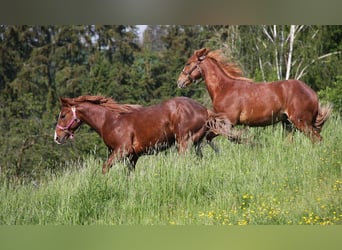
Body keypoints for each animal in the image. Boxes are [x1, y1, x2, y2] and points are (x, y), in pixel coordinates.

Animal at [54, 94, 230, 173]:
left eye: (62, 115)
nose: (56, 137)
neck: (110, 121)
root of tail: (205, 111)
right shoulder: (133, 156)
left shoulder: (121, 151)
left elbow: (105, 168)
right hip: (196, 143)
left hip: (183, 142)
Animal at [178, 47, 332, 142]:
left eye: (188, 63)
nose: (179, 82)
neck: (224, 88)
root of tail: (313, 93)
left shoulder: (229, 122)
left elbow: (221, 136)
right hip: (287, 124)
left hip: (301, 122)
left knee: (317, 139)